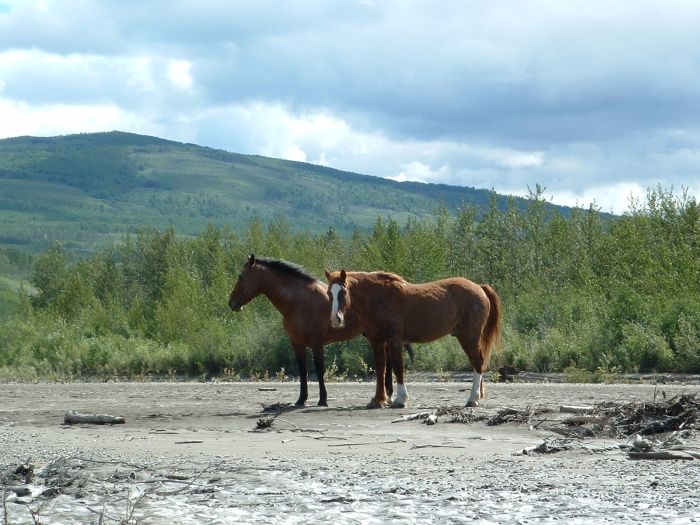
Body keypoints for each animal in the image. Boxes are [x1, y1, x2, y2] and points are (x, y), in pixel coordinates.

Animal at [227, 256, 412, 408]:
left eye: (241, 276)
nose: (231, 303)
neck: (298, 301)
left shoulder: (316, 343)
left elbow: (319, 369)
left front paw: (322, 399)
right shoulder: (296, 343)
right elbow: (303, 370)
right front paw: (301, 399)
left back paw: (388, 396)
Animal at [326, 268, 500, 408]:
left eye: (343, 291)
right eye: (329, 292)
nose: (336, 319)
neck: (379, 298)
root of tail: (480, 287)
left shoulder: (394, 340)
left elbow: (397, 367)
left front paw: (400, 399)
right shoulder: (377, 341)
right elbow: (381, 368)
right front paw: (378, 400)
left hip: (469, 336)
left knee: (478, 362)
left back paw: (473, 399)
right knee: (476, 362)